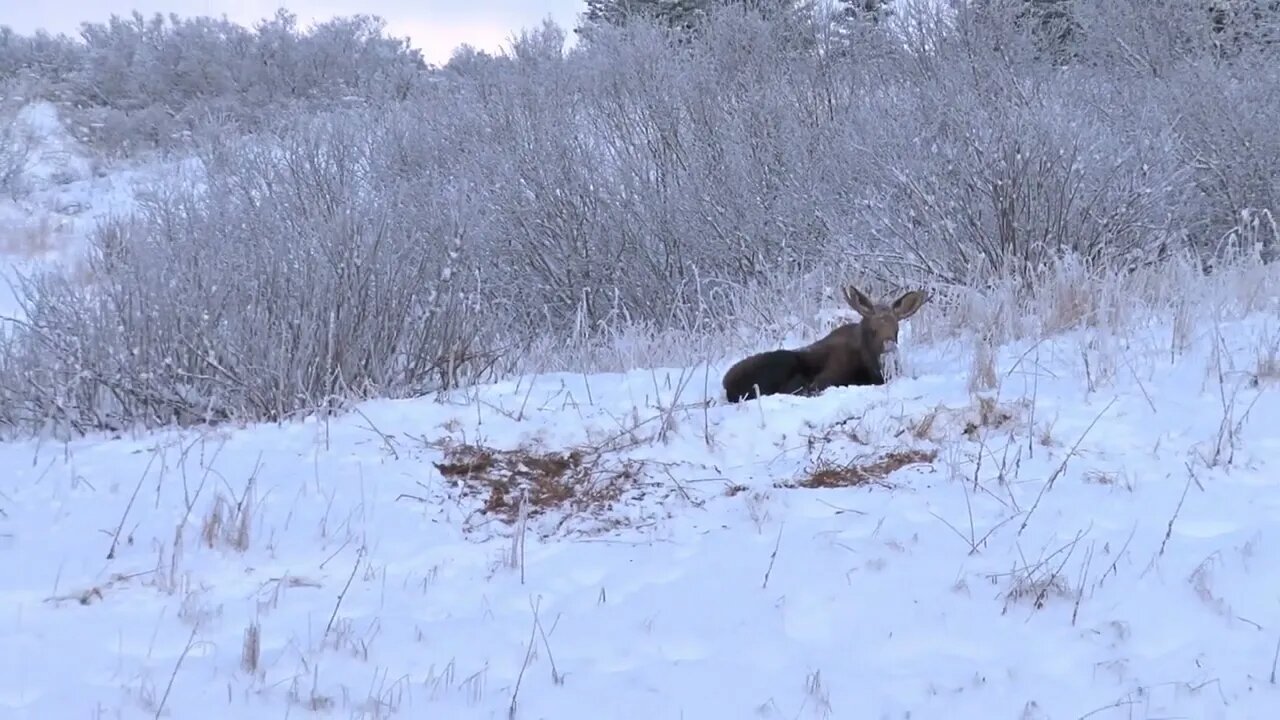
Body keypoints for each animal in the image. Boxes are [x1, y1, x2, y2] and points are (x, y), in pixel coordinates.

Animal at [721, 283, 931, 399]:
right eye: (872, 331)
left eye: (896, 331)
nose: (890, 349)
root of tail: (726, 384)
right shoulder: (827, 378)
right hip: (783, 362)